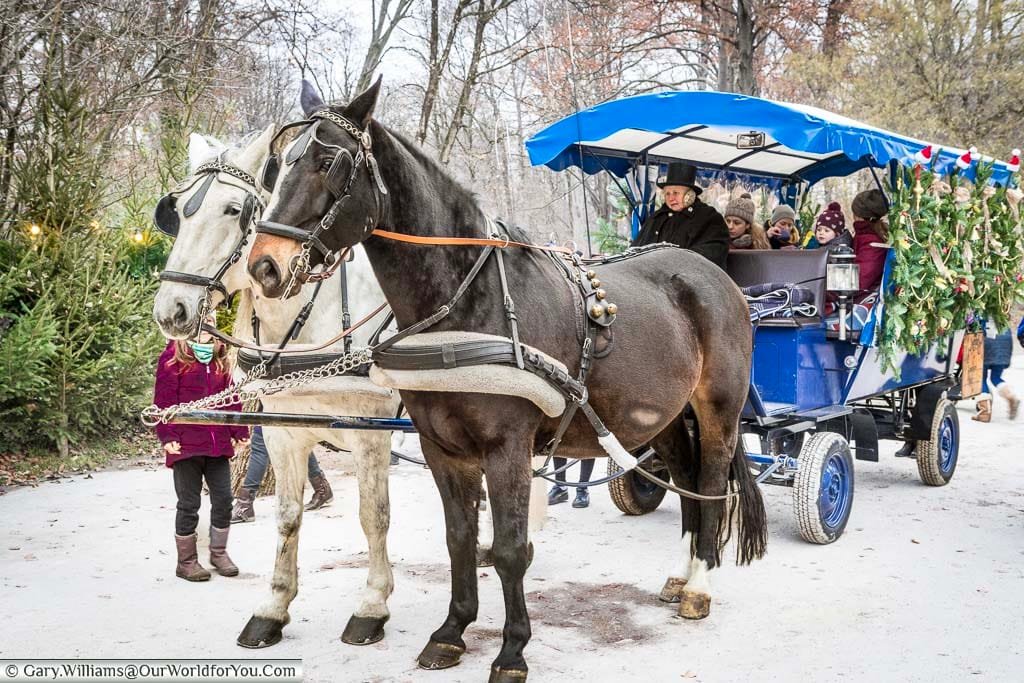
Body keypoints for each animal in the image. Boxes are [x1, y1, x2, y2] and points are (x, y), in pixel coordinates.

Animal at [153, 126, 401, 647]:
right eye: (178, 211)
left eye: (235, 209)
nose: (171, 309)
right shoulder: (284, 432)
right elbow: (287, 517)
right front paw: (273, 608)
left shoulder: (371, 430)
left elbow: (373, 515)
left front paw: (372, 605)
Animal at [245, 81, 761, 683]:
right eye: (277, 163)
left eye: (329, 162)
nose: (265, 266)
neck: (465, 301)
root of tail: (712, 275)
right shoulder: (442, 448)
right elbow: (460, 539)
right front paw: (451, 632)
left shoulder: (508, 447)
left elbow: (511, 548)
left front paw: (512, 650)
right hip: (664, 417)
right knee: (682, 475)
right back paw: (680, 575)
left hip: (718, 410)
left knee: (711, 481)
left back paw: (700, 585)